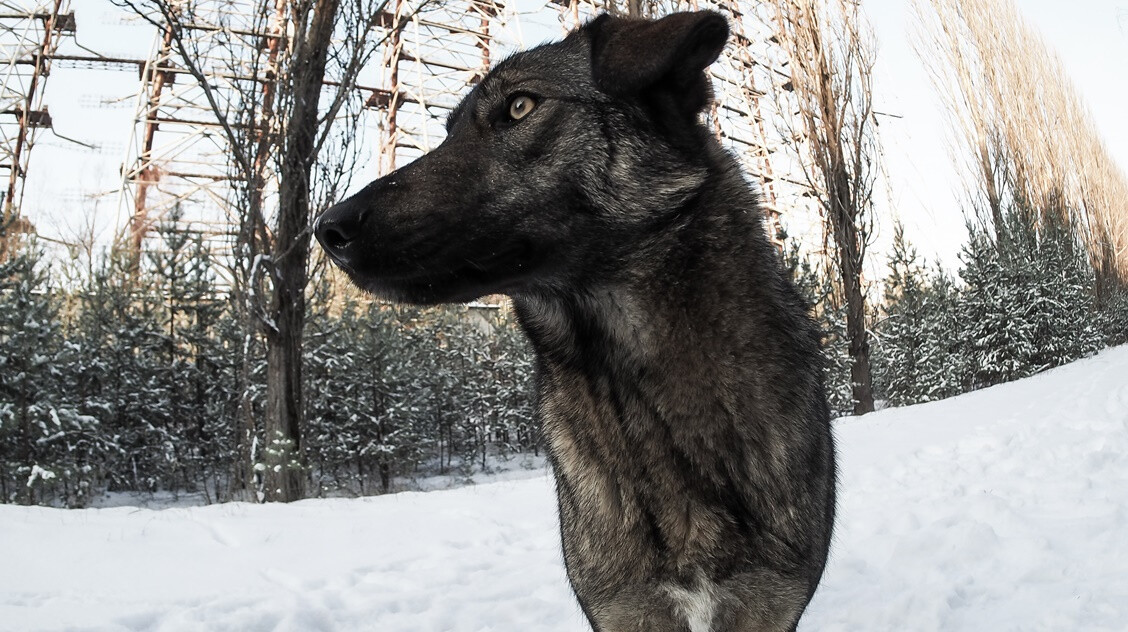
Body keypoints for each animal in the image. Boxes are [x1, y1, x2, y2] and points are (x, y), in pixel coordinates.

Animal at [313, 11, 834, 632]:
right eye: (448, 131)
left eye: (520, 106)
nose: (328, 229)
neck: (635, 394)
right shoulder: (624, 610)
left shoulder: (766, 606)